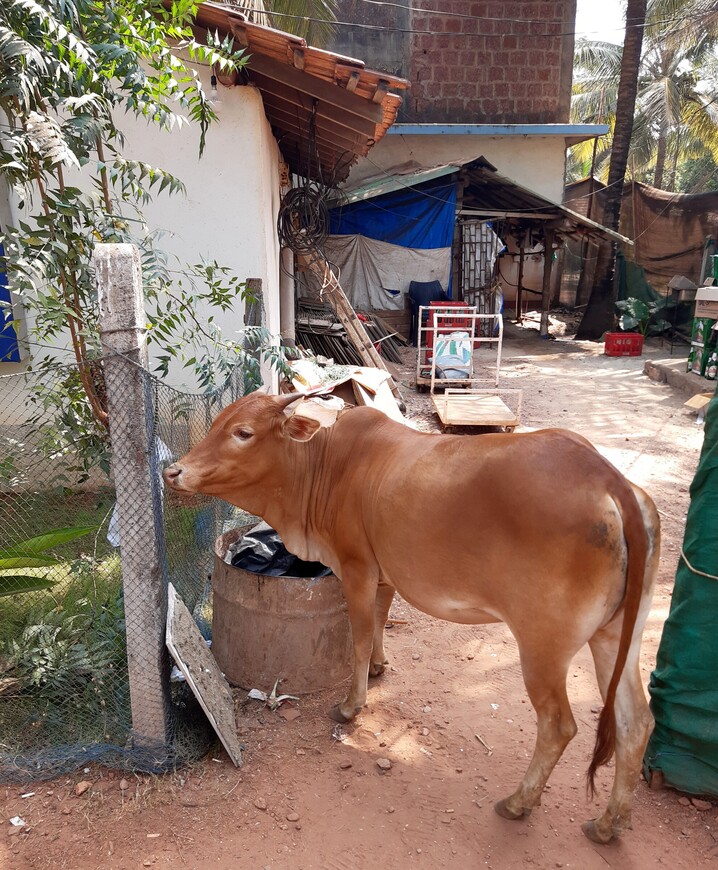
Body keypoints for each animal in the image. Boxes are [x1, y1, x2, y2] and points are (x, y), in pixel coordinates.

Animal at [166, 394, 660, 844]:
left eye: (243, 432)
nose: (174, 472)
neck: (322, 467)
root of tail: (608, 478)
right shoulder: (385, 575)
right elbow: (381, 622)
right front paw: (379, 667)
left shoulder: (358, 568)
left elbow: (360, 635)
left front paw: (351, 705)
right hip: (616, 635)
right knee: (637, 721)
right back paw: (609, 822)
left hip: (543, 645)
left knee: (559, 725)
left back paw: (520, 802)